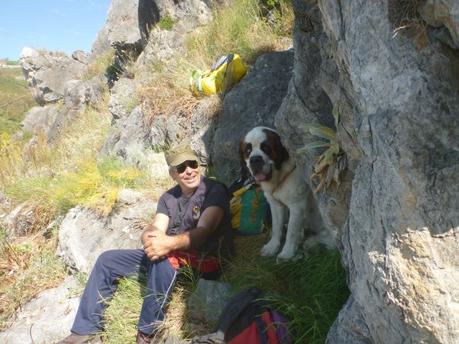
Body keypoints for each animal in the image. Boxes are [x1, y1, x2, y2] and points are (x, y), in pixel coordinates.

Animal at [241, 126, 334, 260]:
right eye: (248, 150)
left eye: (266, 148)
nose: (255, 159)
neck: (281, 175)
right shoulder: (275, 204)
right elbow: (276, 227)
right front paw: (272, 247)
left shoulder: (297, 206)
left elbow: (292, 230)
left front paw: (287, 253)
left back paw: (311, 242)